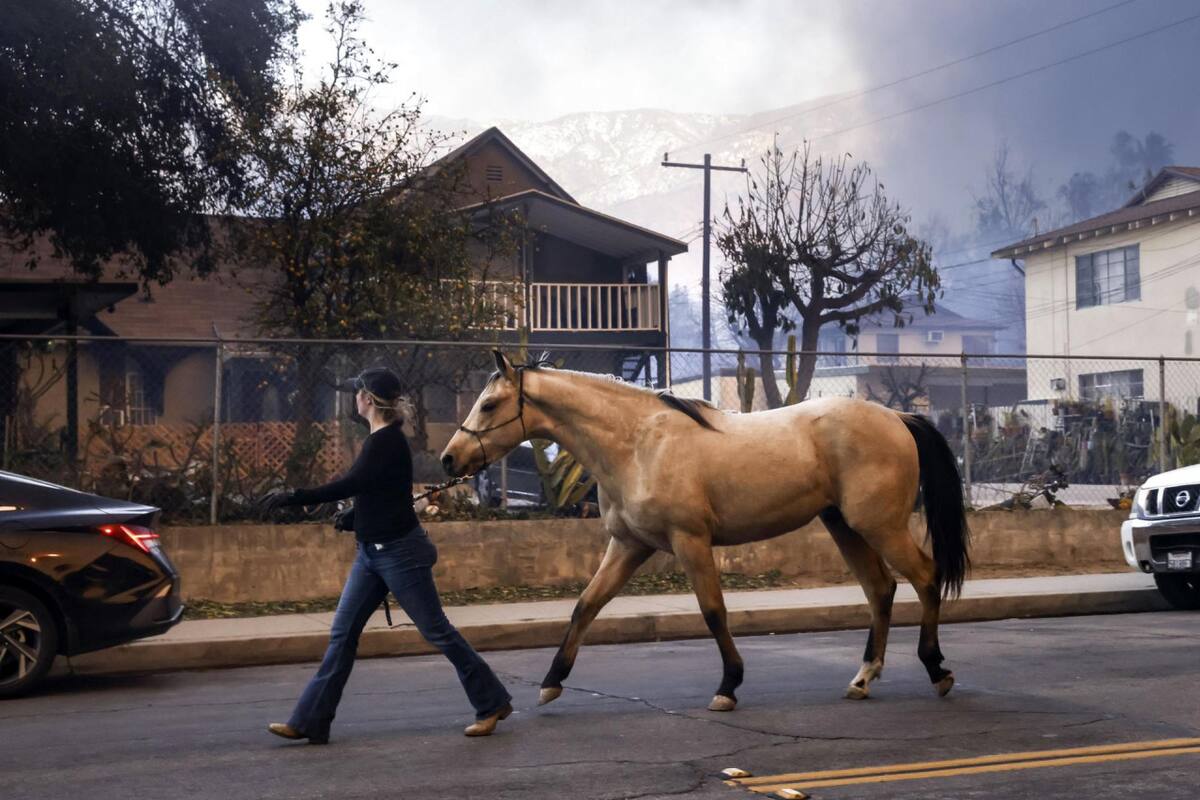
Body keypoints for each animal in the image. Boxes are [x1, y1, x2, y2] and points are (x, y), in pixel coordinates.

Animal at [440, 351, 969, 713]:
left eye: (489, 405)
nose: (449, 459)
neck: (637, 444)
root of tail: (898, 417)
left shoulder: (689, 541)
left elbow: (713, 612)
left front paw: (728, 686)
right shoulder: (629, 545)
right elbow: (585, 605)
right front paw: (552, 681)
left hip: (879, 525)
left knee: (925, 577)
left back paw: (936, 668)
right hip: (847, 527)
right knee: (881, 589)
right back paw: (863, 678)